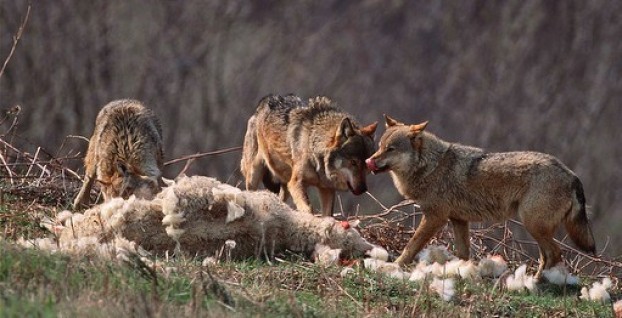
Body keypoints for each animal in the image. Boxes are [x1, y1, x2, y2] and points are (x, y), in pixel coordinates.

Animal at [241, 93, 378, 215]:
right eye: (353, 162)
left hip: (285, 183)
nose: (363, 189)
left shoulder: (327, 190)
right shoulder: (296, 183)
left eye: (366, 164)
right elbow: (308, 208)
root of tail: (265, 101)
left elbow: (328, 215)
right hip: (254, 175)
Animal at [368, 115, 596, 280]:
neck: (429, 167)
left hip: (532, 225)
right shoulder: (458, 220)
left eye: (390, 149)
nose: (369, 161)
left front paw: (395, 266)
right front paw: (460, 271)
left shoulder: (435, 218)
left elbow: (411, 246)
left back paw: (538, 282)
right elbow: (463, 254)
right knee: (548, 255)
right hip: (536, 228)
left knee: (555, 253)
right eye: (379, 147)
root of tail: (573, 175)